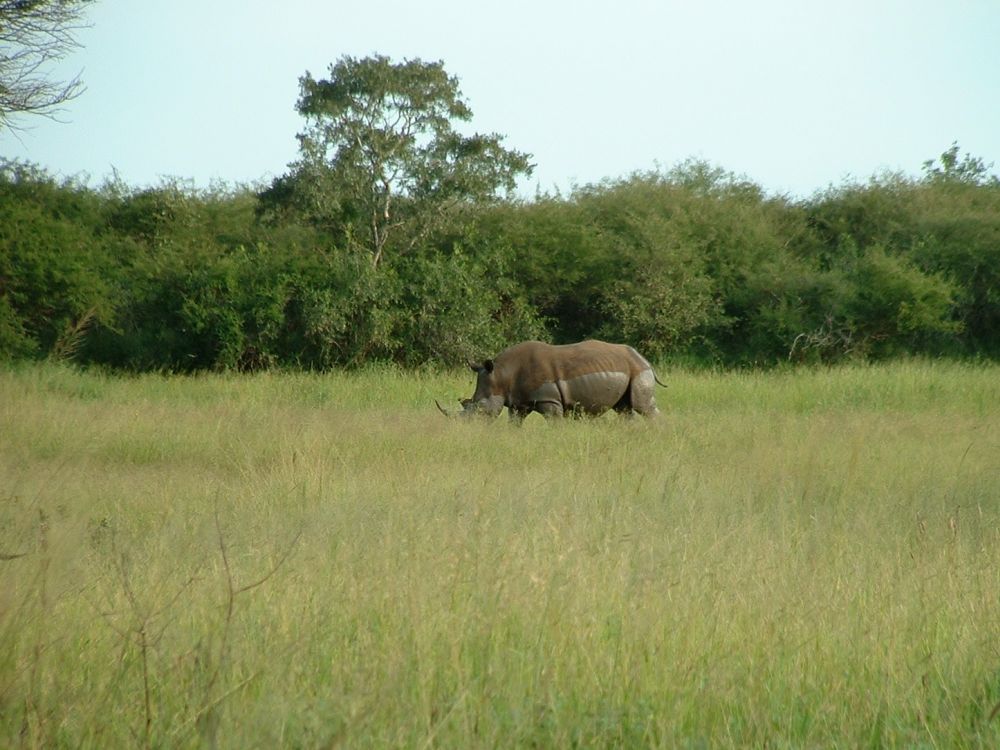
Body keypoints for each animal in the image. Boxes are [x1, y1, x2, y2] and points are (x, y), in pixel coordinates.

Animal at [437, 339, 665, 421]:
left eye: (481, 408)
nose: (468, 428)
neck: (501, 375)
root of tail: (645, 360)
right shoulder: (518, 403)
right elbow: (514, 423)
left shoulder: (550, 400)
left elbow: (555, 421)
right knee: (624, 409)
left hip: (639, 372)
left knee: (643, 406)